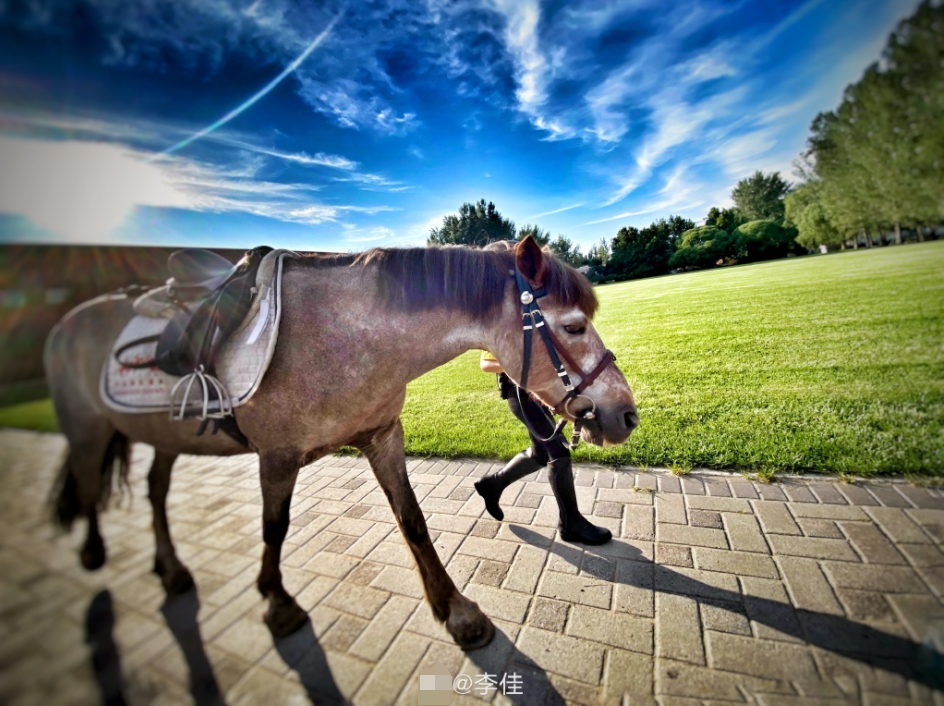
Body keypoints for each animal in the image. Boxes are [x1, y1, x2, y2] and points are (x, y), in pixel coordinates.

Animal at [45, 235, 638, 650]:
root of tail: (67, 321)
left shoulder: (382, 438)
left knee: (154, 490)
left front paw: (456, 611)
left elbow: (413, 521)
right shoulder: (277, 458)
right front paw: (278, 603)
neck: (345, 336)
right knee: (90, 484)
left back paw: (170, 570)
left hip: (161, 435)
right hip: (86, 429)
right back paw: (94, 553)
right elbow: (274, 528)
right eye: (574, 326)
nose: (626, 414)